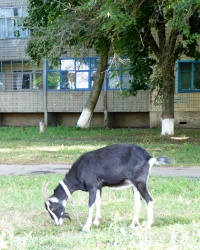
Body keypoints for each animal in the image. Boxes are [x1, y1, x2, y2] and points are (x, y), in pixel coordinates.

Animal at [42, 145, 170, 232]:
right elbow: (98, 202)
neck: (79, 170)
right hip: (134, 185)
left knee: (149, 200)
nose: (57, 223)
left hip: (140, 183)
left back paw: (147, 226)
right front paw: (96, 221)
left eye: (52, 208)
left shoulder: (92, 186)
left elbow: (90, 205)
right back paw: (132, 225)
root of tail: (149, 157)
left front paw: (86, 227)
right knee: (138, 203)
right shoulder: (99, 187)